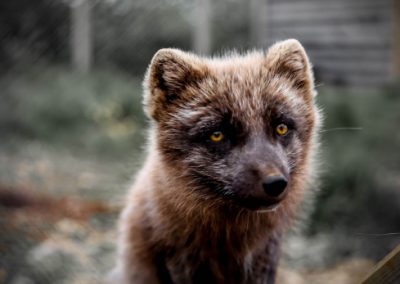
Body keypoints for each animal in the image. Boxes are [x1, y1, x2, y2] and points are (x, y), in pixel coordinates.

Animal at [112, 38, 322, 284]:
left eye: (281, 128)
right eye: (217, 134)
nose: (275, 184)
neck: (232, 238)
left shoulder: (265, 256)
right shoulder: (181, 260)